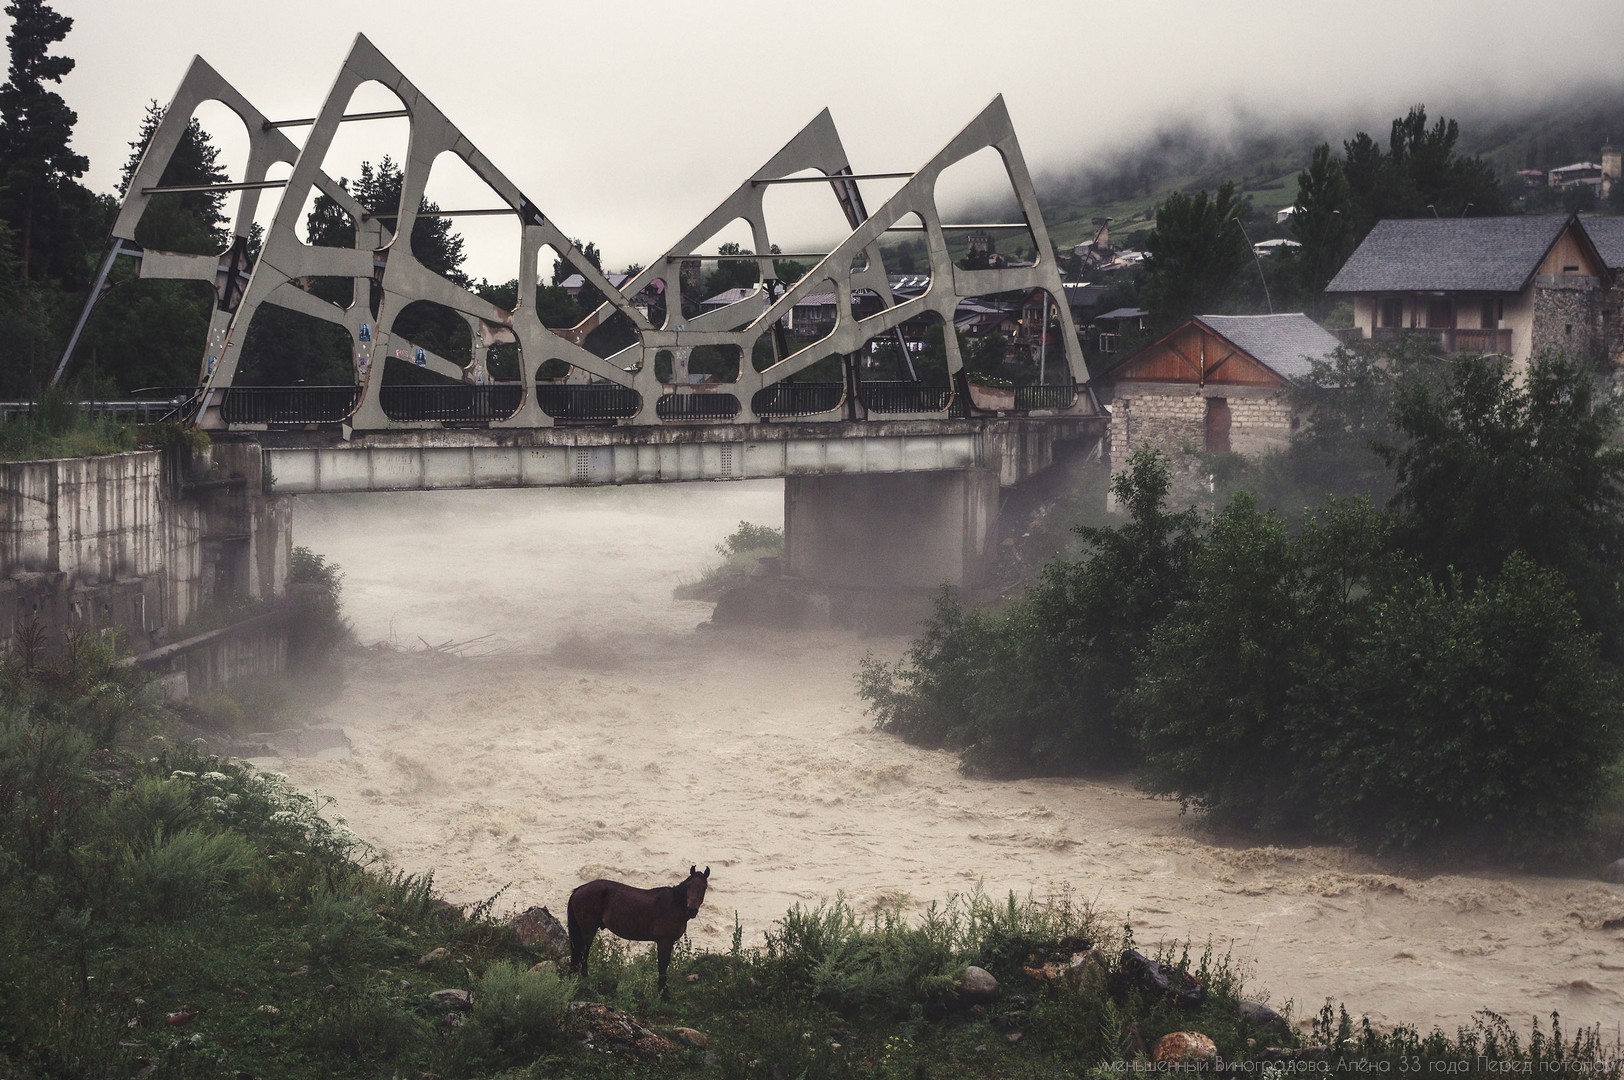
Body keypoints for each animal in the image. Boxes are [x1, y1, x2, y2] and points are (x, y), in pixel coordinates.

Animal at [571, 864, 711, 1000]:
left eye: (704, 887)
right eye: (689, 886)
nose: (692, 910)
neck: (674, 905)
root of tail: (578, 890)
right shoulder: (664, 941)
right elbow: (663, 965)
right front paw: (663, 994)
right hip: (588, 930)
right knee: (583, 954)